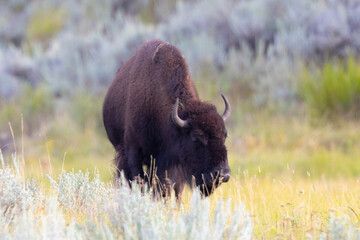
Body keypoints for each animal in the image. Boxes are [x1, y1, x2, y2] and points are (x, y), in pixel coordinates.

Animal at [102, 39, 231, 201]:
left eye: (224, 135)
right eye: (196, 138)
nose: (223, 174)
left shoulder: (172, 162)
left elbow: (171, 187)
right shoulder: (134, 152)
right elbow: (140, 181)